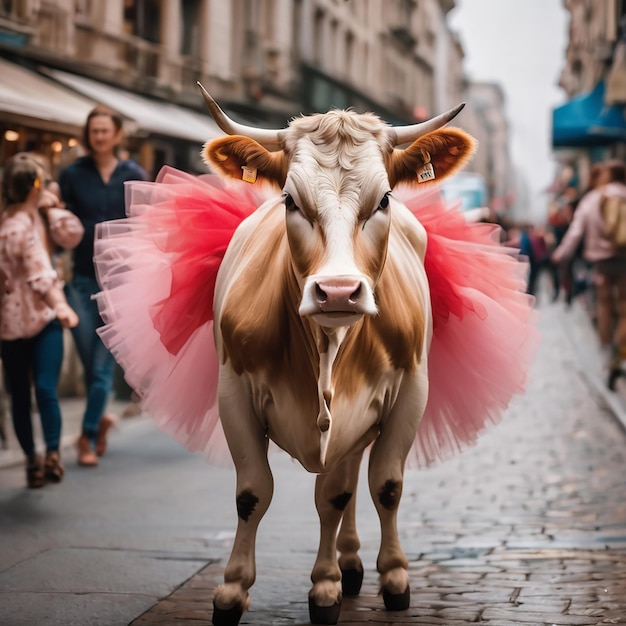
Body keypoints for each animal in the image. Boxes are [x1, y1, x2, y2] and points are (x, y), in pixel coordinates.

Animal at [197, 84, 476, 624]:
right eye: (290, 199)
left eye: (384, 198)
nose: (339, 292)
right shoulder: (232, 392)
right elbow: (252, 492)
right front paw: (233, 590)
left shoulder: (409, 393)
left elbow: (378, 487)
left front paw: (378, 579)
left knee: (344, 488)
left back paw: (347, 567)